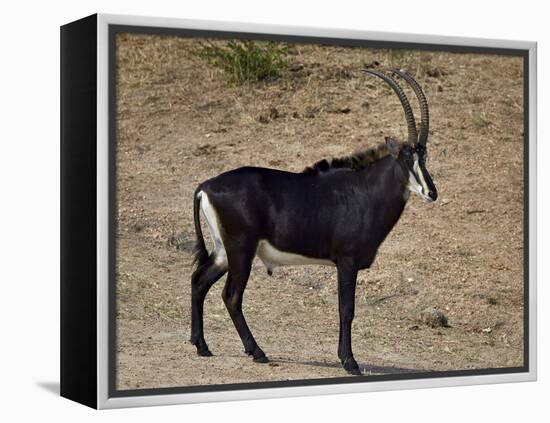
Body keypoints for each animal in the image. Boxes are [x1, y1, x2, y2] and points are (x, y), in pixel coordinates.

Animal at [190, 68, 440, 374]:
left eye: (424, 157)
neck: (364, 191)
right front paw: (349, 361)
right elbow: (346, 309)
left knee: (199, 281)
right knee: (231, 296)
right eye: (405, 159)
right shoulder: (346, 262)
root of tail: (207, 185)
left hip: (224, 251)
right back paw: (257, 351)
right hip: (241, 250)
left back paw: (202, 346)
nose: (431, 193)